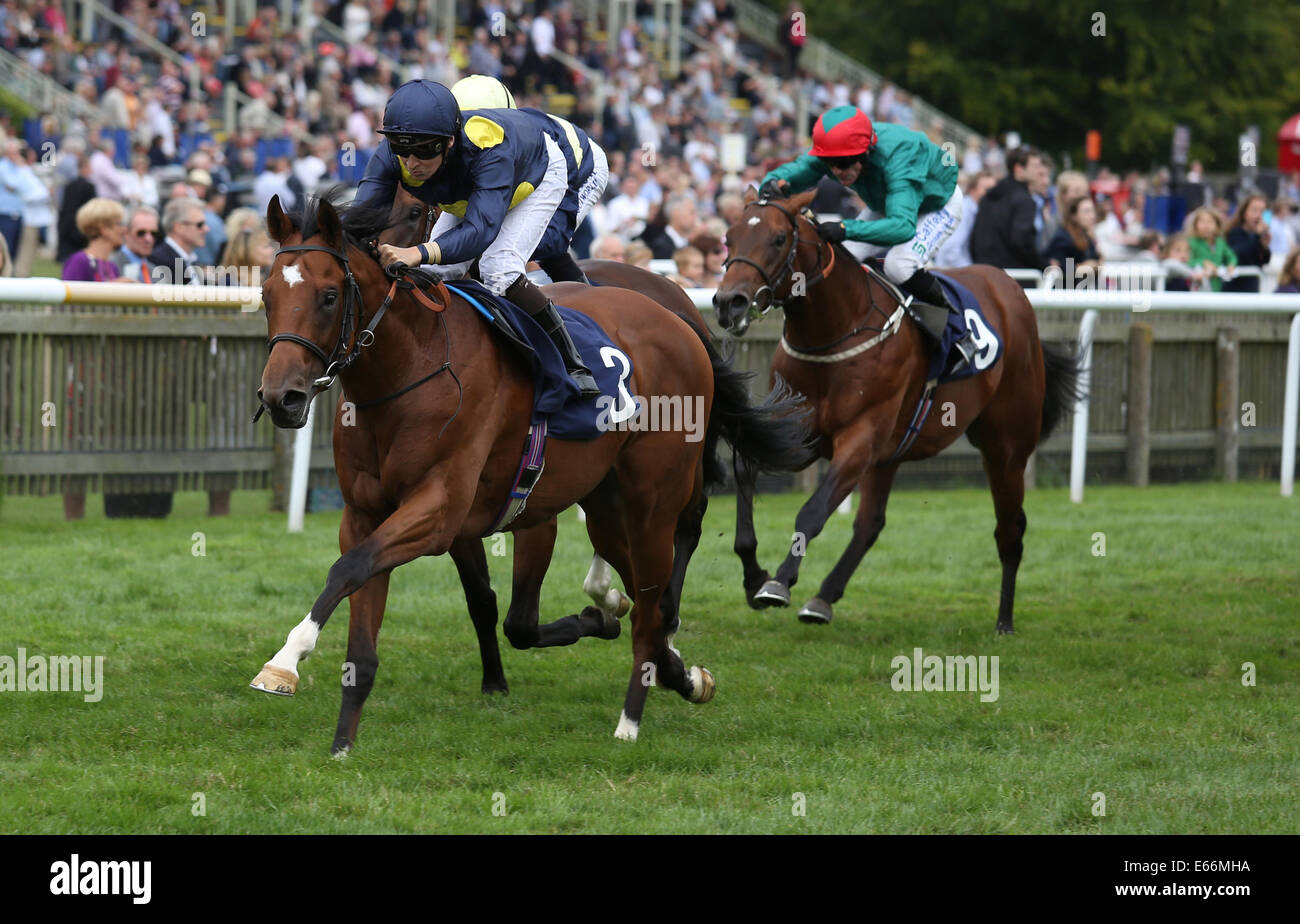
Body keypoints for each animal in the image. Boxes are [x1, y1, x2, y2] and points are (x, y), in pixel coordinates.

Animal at [249, 189, 806, 753]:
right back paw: (673, 669)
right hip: (608, 507)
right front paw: (342, 743)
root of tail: (681, 322)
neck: (413, 368)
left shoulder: (451, 511)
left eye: (328, 296)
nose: (281, 398)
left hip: (655, 500)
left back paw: (630, 718)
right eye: (267, 294)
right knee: (648, 598)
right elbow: (374, 596)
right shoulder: (370, 514)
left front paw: (284, 662)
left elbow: (354, 571)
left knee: (663, 584)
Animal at [712, 188, 1076, 636]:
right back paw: (823, 598)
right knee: (871, 524)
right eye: (728, 236)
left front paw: (778, 582)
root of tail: (1009, 287)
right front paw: (754, 577)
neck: (837, 328)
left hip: (1006, 448)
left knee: (1010, 529)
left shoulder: (861, 437)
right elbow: (746, 477)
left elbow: (813, 510)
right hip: (892, 452)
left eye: (779, 239)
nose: (729, 303)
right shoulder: (797, 433)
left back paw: (1004, 621)